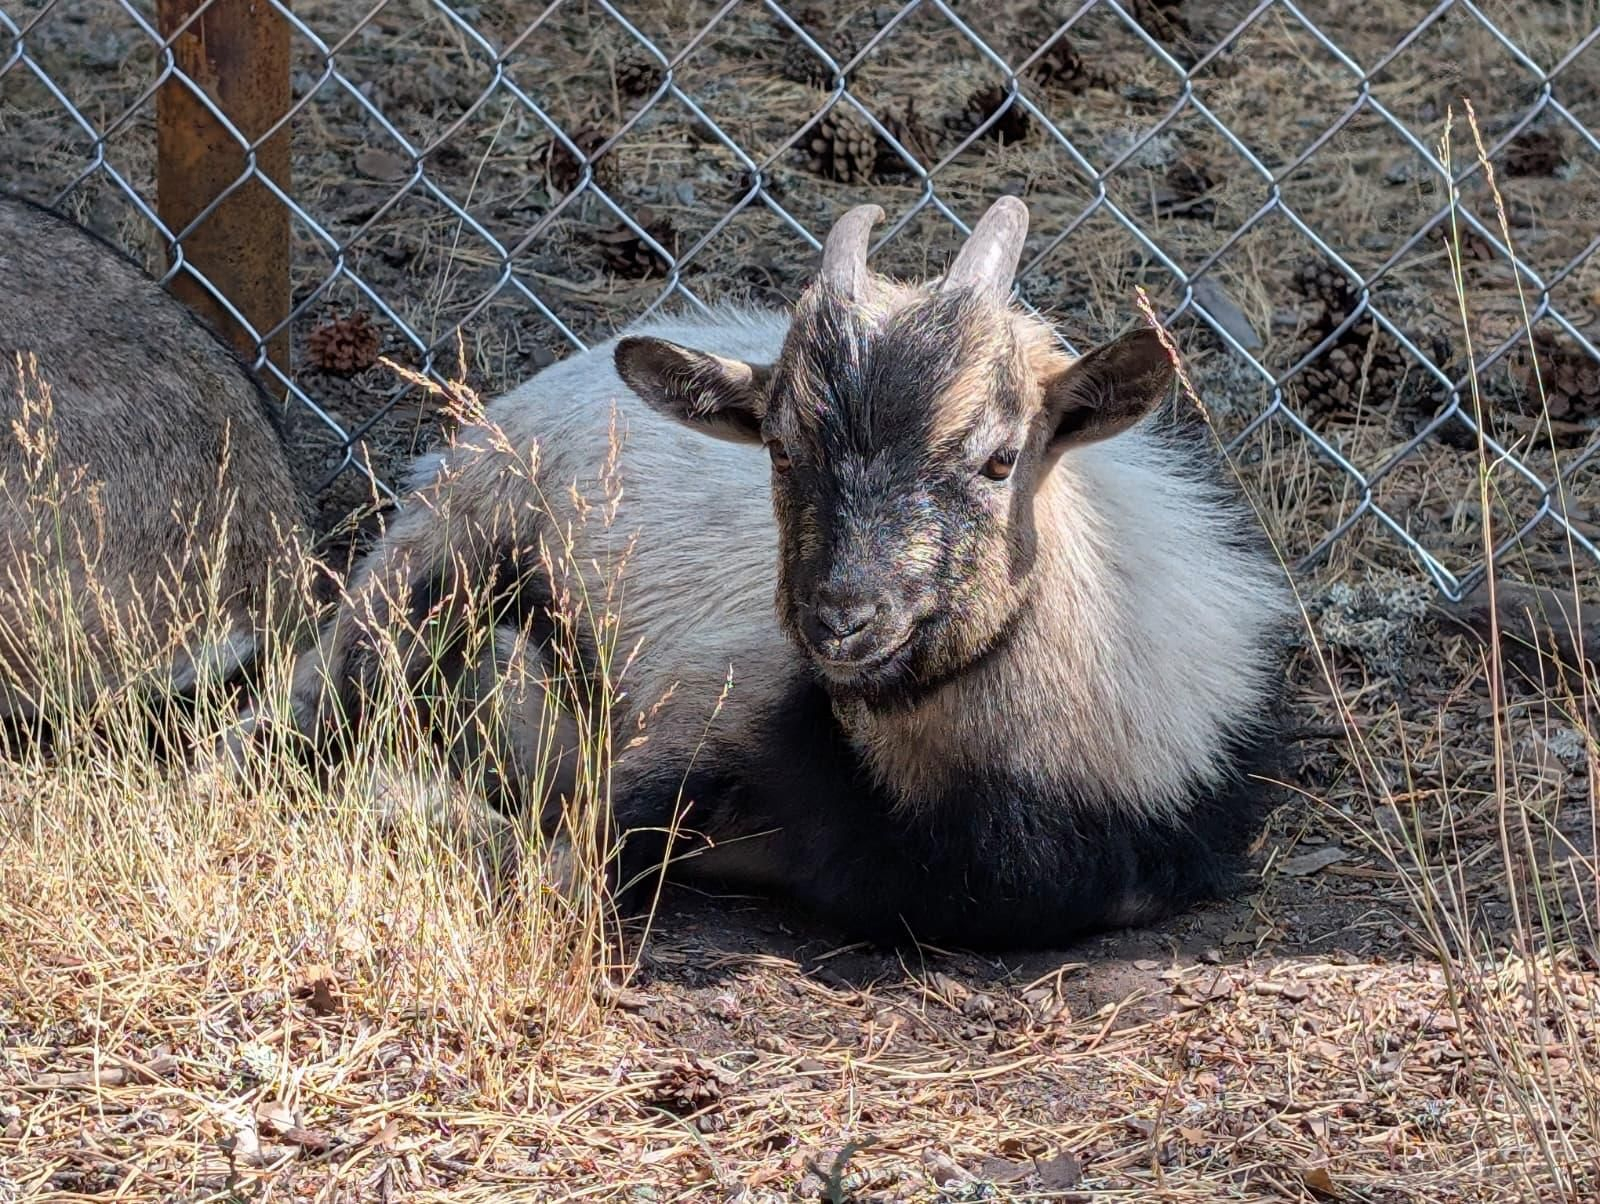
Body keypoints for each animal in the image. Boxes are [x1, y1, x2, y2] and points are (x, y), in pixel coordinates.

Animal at [285, 196, 1292, 950]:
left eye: (1002, 459)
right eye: (776, 447)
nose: (842, 619)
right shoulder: (691, 717)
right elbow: (567, 867)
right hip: (440, 548)